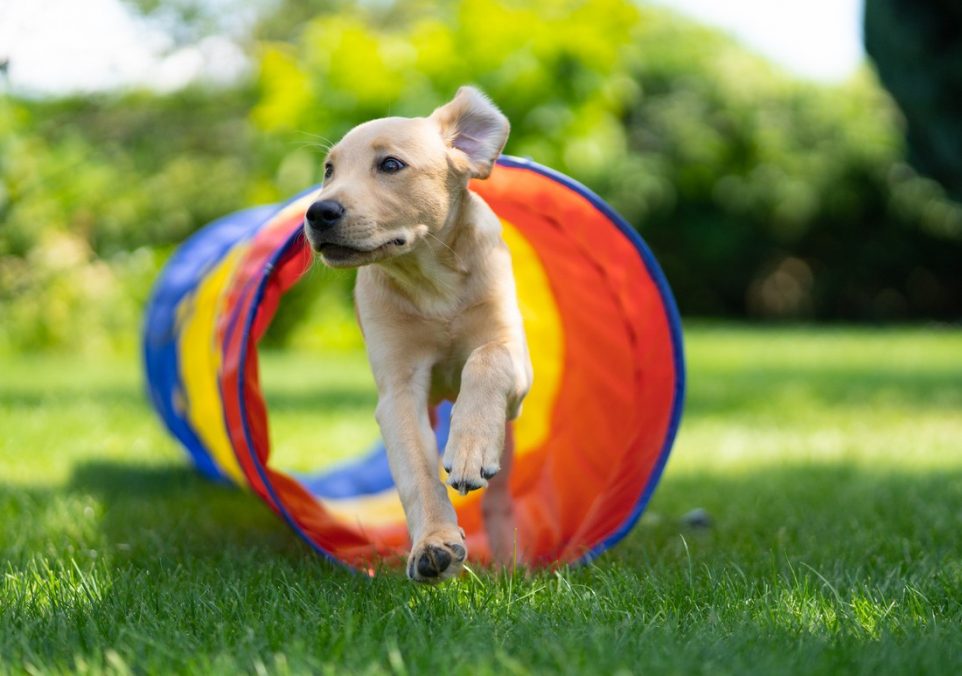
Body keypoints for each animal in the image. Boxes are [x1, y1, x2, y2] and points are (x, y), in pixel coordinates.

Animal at [304, 87, 528, 584]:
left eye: (390, 165)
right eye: (329, 170)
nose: (317, 211)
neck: (431, 283)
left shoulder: (513, 354)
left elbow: (486, 358)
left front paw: (469, 449)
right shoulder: (399, 391)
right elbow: (417, 471)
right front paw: (434, 546)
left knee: (501, 500)